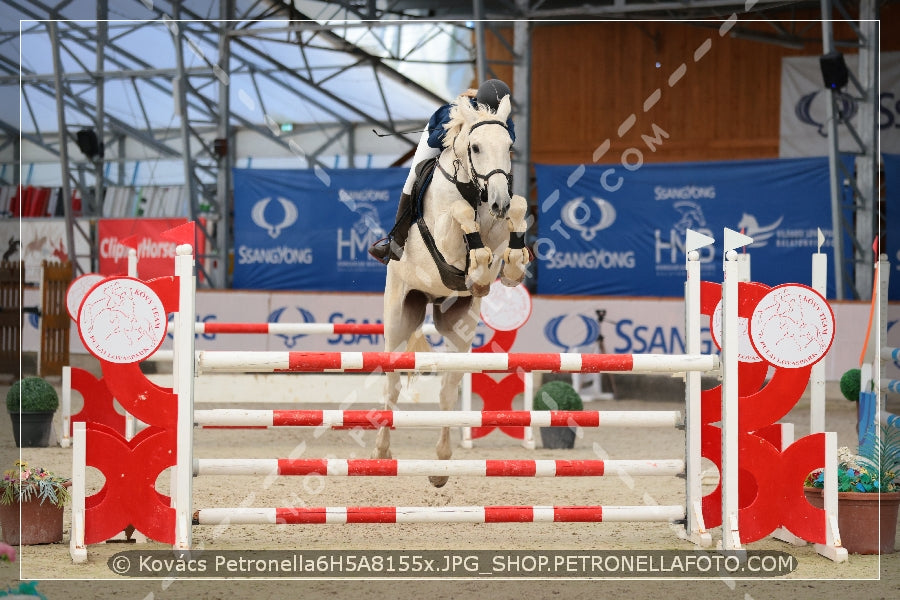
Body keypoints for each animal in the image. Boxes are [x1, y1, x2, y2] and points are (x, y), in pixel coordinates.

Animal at [374, 94, 532, 488]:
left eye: (509, 146)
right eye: (475, 147)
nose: (499, 202)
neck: (474, 188)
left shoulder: (498, 228)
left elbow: (511, 230)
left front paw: (505, 265)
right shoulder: (444, 238)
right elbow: (459, 215)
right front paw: (477, 260)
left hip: (459, 329)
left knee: (447, 392)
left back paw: (441, 467)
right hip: (398, 320)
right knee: (392, 385)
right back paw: (382, 452)